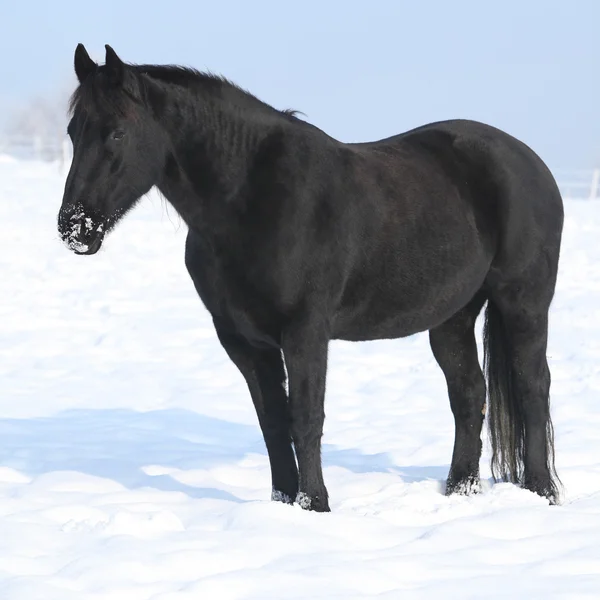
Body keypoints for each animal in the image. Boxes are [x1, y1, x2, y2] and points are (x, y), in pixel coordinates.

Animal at [56, 45, 564, 510]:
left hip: (523, 303)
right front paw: (284, 503)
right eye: (73, 131)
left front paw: (314, 503)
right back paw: (460, 489)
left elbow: (305, 417)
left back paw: (542, 491)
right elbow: (272, 424)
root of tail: (530, 162)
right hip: (452, 318)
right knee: (469, 393)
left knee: (532, 386)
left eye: (117, 132)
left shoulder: (304, 332)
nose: (74, 227)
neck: (250, 199)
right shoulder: (243, 341)